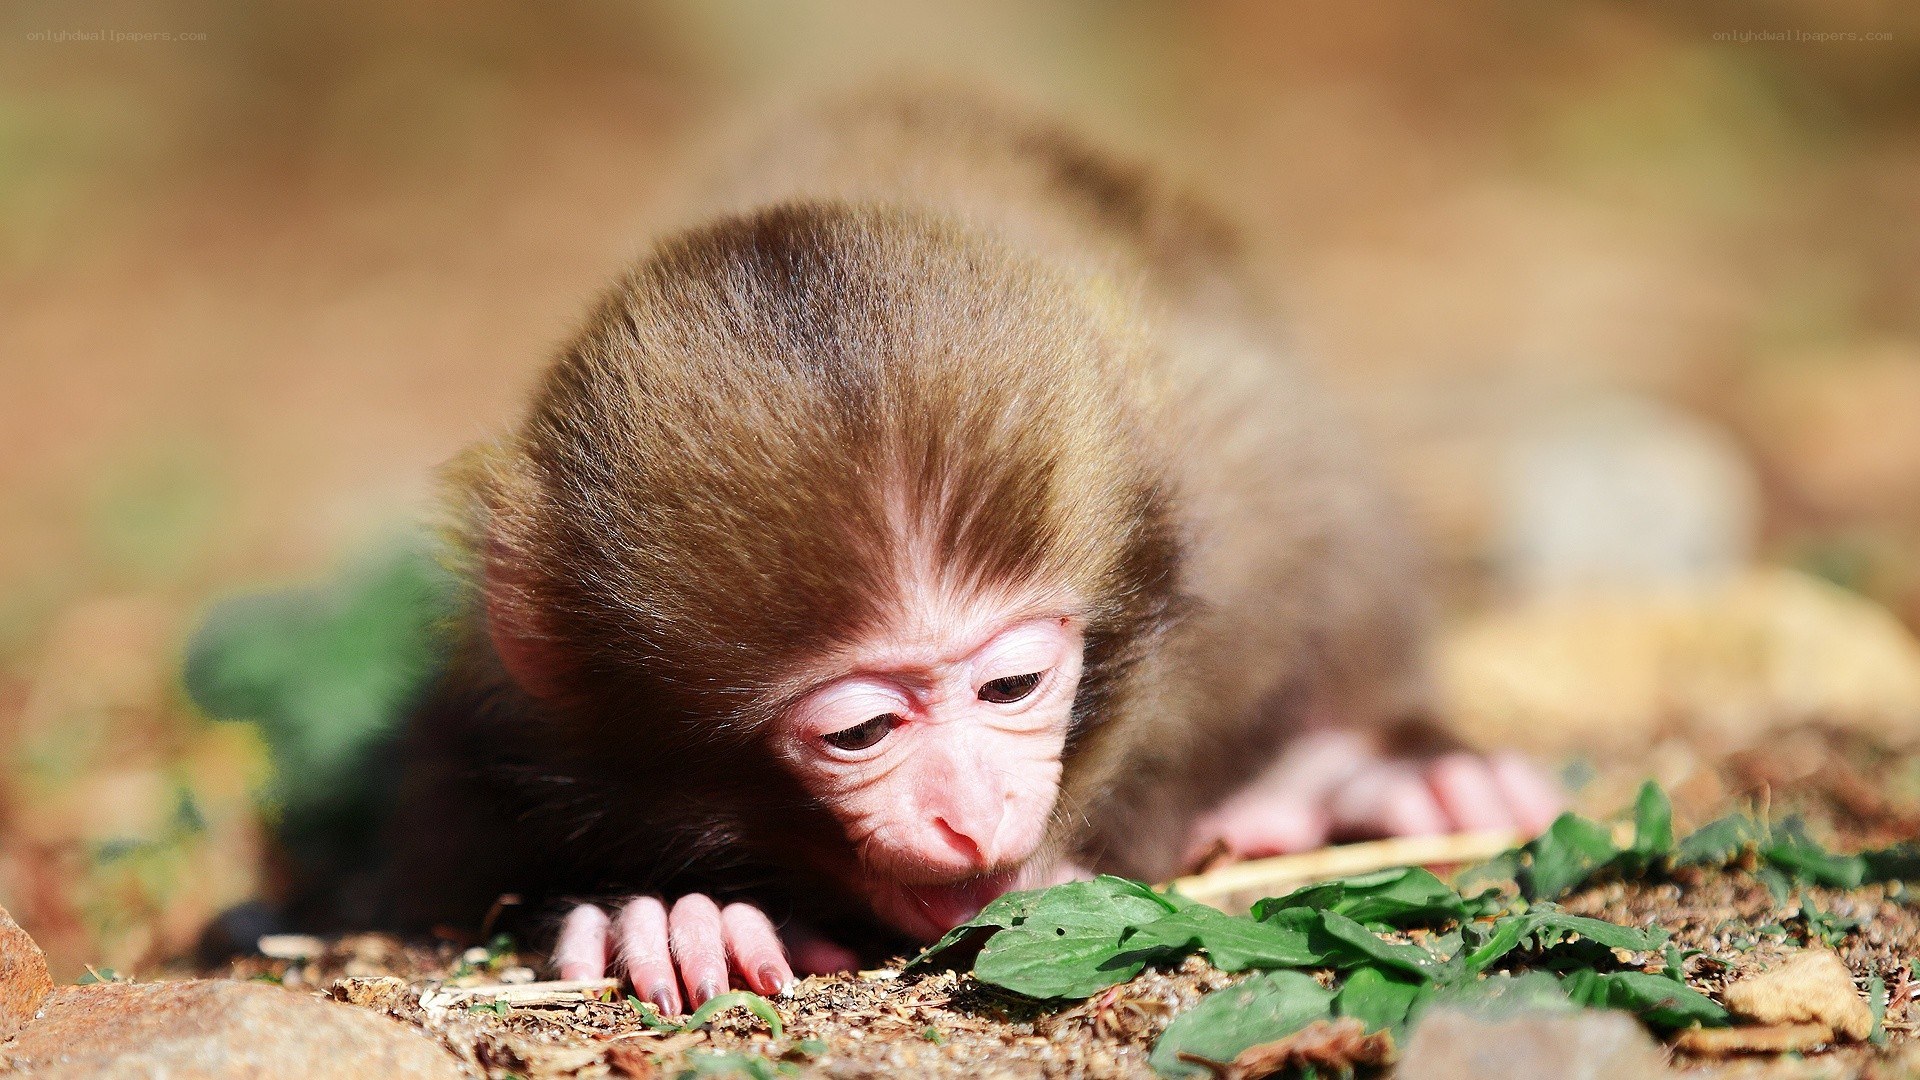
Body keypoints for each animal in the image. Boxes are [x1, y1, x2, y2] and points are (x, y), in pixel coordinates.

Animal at [377, 87, 1561, 1015]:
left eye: (1013, 687)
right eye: (860, 732)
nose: (972, 813)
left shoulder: (1244, 493)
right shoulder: (501, 695)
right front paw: (674, 914)